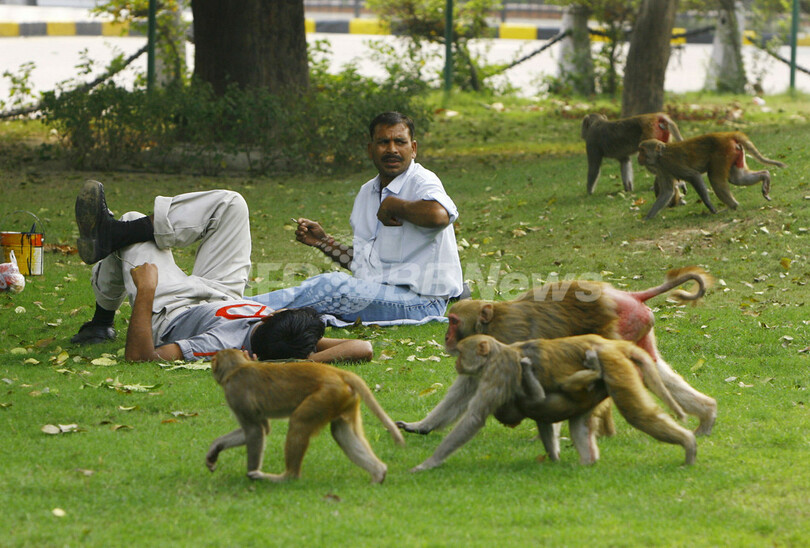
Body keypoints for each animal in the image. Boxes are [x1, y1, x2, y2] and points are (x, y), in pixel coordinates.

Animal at [205, 348, 400, 482]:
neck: (237, 368)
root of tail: (337, 372)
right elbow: (263, 429)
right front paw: (215, 447)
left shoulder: (235, 394)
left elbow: (255, 431)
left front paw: (250, 474)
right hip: (342, 398)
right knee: (341, 431)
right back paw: (378, 473)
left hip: (325, 396)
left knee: (299, 422)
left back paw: (286, 477)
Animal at [398, 266, 712, 454]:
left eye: (453, 321)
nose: (446, 337)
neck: (492, 325)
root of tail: (623, 295)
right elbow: (464, 390)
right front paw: (422, 426)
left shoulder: (506, 343)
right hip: (637, 329)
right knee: (651, 369)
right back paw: (707, 414)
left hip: (612, 329)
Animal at [636, 132, 784, 219]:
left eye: (642, 151)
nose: (638, 158)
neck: (661, 155)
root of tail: (726, 135)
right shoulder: (662, 168)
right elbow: (666, 192)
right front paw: (648, 218)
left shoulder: (669, 163)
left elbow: (694, 176)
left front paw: (711, 208)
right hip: (734, 153)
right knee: (737, 178)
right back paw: (765, 176)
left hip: (723, 153)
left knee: (715, 179)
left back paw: (733, 206)